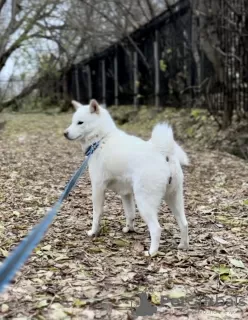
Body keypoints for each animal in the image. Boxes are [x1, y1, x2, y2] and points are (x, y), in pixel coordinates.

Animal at [65, 99, 189, 256]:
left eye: (80, 122)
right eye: (72, 121)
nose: (65, 133)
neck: (101, 139)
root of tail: (163, 153)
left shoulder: (98, 188)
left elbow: (96, 214)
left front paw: (93, 232)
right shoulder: (126, 193)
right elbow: (130, 213)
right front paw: (129, 229)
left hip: (145, 202)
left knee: (156, 229)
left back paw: (151, 252)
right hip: (174, 198)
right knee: (184, 223)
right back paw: (183, 246)